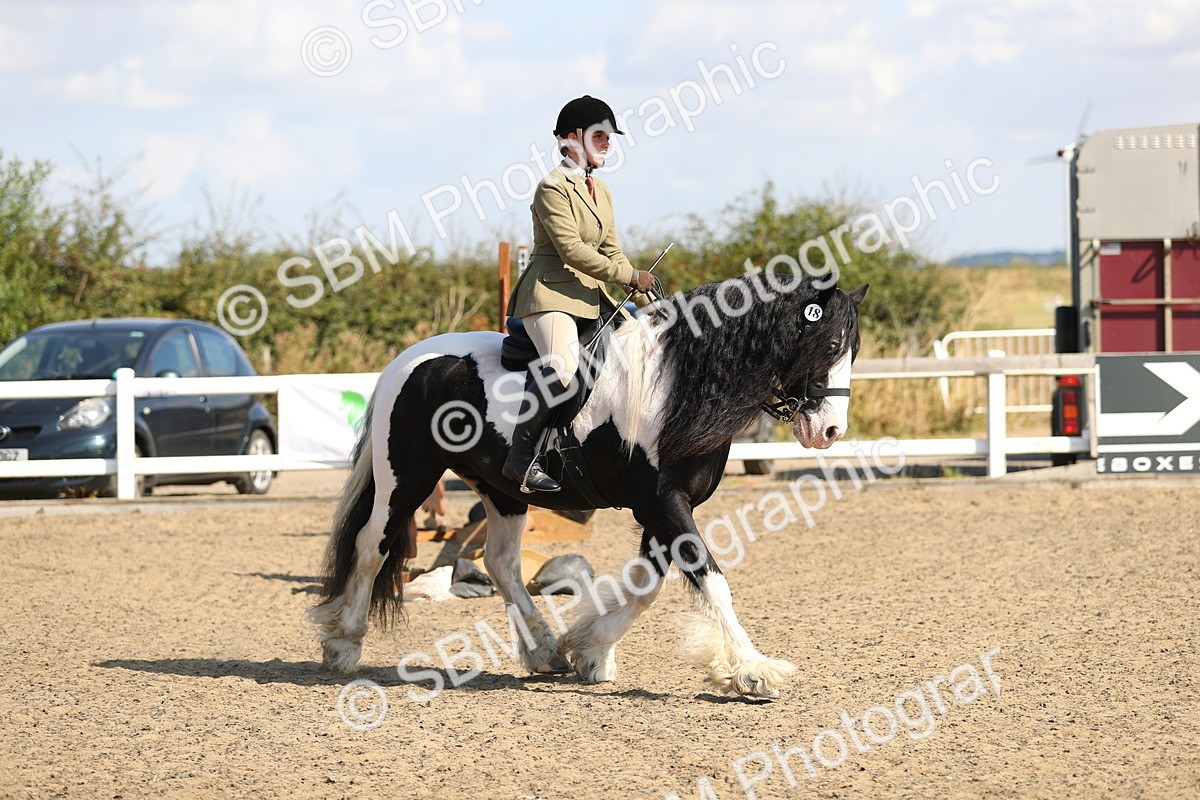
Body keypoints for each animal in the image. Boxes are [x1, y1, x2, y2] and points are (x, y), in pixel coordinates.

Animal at [310, 272, 868, 698]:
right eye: (832, 345)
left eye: (854, 350)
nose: (830, 431)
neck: (677, 386)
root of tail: (410, 359)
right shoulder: (662, 502)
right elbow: (712, 579)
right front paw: (753, 670)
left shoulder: (664, 508)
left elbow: (647, 585)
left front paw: (591, 650)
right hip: (407, 478)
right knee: (372, 545)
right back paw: (344, 643)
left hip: (504, 491)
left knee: (501, 563)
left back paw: (542, 650)